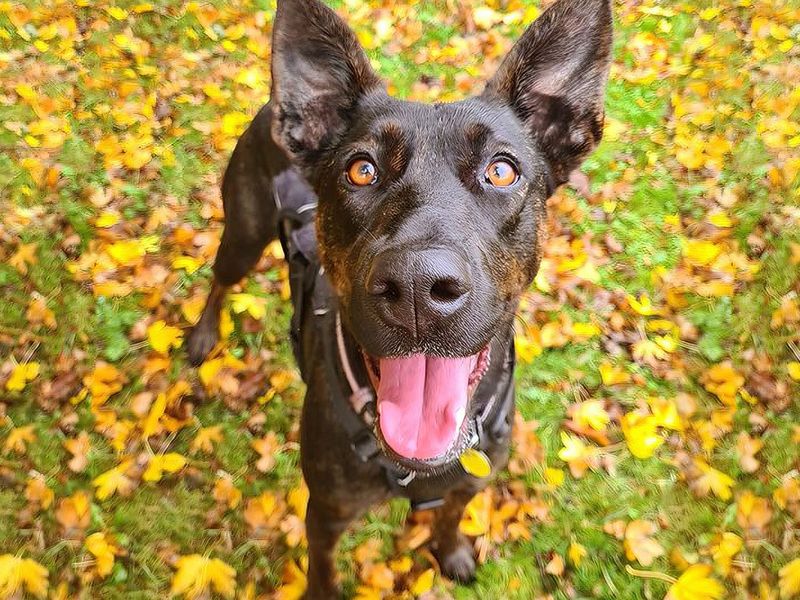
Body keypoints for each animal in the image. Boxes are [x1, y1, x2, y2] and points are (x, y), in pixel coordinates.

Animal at [189, 0, 612, 596]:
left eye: (502, 170)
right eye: (361, 169)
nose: (416, 288)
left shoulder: (470, 484)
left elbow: (451, 516)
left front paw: (450, 551)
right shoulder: (326, 512)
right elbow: (322, 569)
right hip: (244, 232)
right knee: (221, 278)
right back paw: (204, 334)